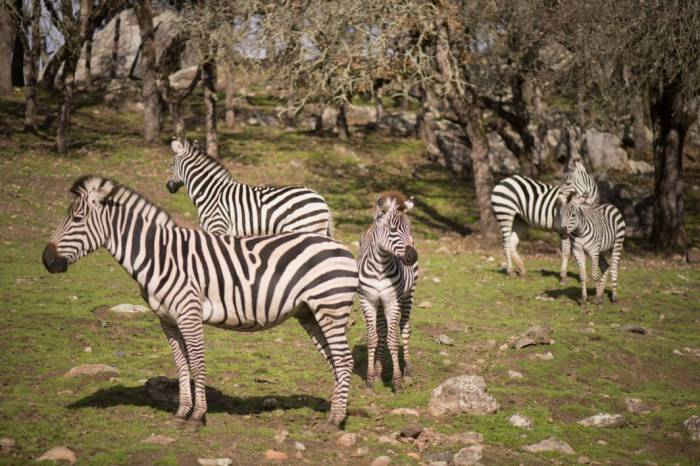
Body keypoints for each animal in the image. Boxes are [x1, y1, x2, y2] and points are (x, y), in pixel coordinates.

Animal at [41, 176, 358, 430]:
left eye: (77, 220)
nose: (46, 260)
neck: (158, 256)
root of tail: (341, 247)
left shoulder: (189, 313)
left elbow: (196, 361)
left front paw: (197, 416)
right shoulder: (167, 320)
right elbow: (181, 364)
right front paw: (181, 413)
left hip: (330, 308)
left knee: (344, 359)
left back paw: (334, 421)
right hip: (309, 313)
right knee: (335, 360)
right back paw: (337, 413)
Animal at [165, 137, 332, 235]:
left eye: (171, 164)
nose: (168, 187)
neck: (210, 192)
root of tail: (321, 199)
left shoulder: (218, 227)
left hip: (306, 228)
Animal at [358, 191, 418, 392]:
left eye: (409, 229)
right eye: (392, 229)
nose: (413, 256)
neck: (379, 267)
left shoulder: (393, 301)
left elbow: (393, 339)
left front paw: (397, 382)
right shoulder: (367, 300)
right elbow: (372, 337)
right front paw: (369, 380)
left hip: (408, 296)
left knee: (404, 328)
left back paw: (407, 372)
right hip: (379, 303)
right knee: (382, 331)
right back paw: (377, 371)